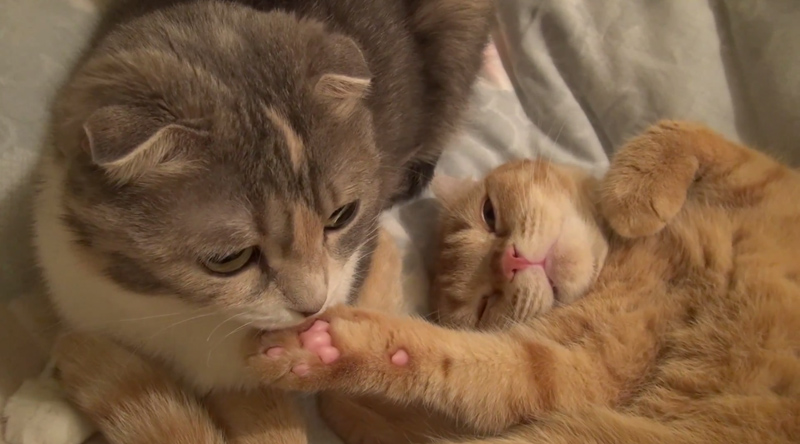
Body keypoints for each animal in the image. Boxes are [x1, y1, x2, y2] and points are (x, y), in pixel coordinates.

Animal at [247, 119, 800, 442]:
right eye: (484, 306)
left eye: (489, 215)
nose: (512, 262)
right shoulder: (577, 371)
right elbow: (451, 361)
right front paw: (329, 350)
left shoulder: (774, 183)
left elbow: (690, 131)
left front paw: (631, 191)